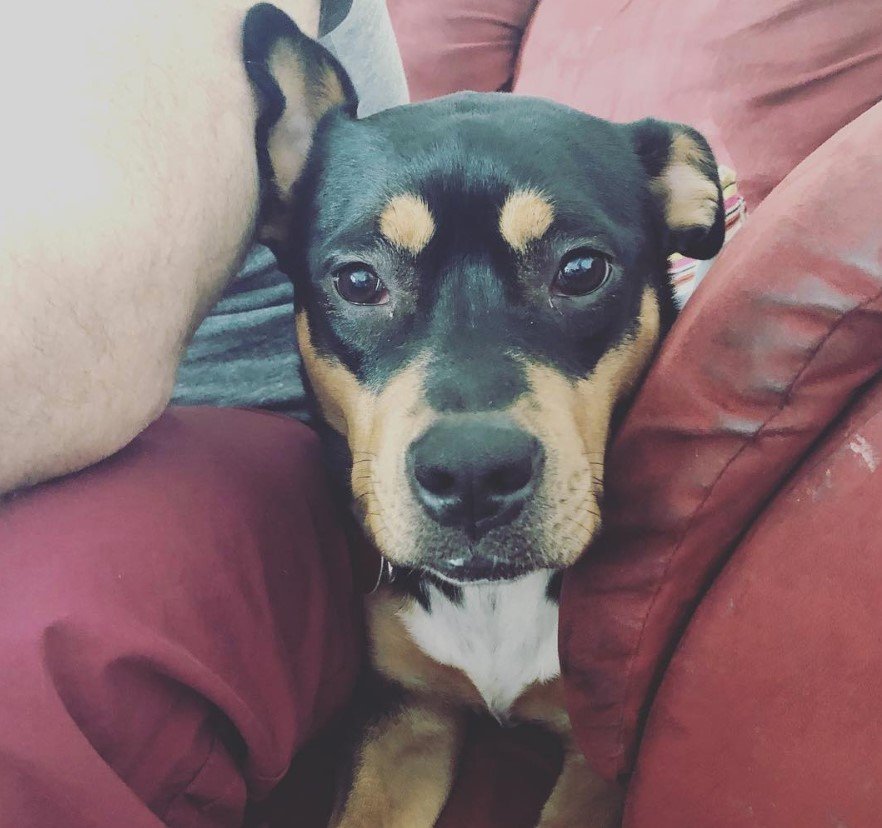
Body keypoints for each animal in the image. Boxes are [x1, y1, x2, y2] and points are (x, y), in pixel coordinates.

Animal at [241, 4, 720, 820]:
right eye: (358, 280)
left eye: (582, 269)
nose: (471, 475)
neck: (495, 599)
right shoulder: (404, 717)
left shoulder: (596, 759)